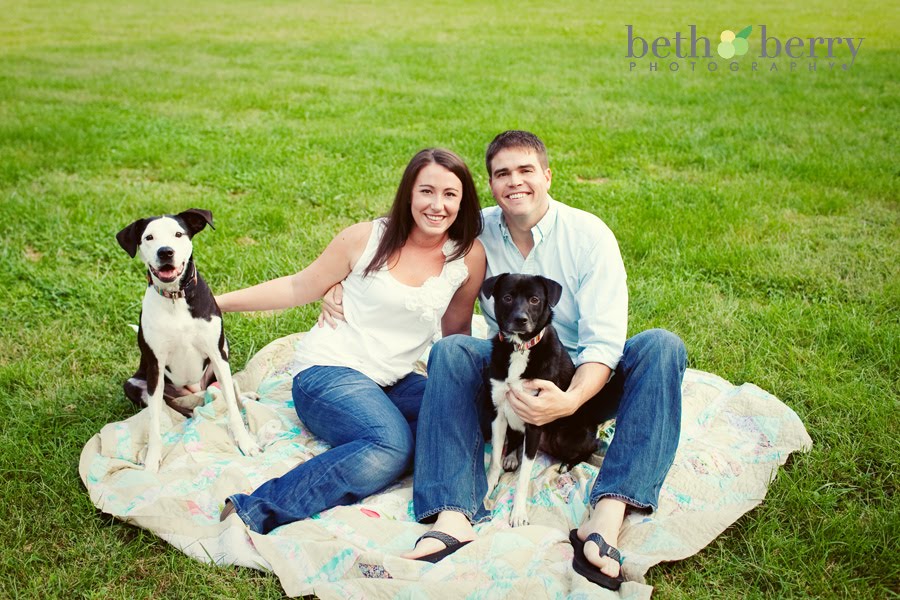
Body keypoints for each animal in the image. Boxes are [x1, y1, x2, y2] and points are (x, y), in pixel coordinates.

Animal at [116, 208, 261, 471]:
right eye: (149, 237)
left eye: (178, 234)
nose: (165, 252)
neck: (175, 297)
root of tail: (195, 389)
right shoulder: (155, 368)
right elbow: (154, 422)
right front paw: (151, 459)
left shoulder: (218, 354)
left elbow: (233, 408)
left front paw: (246, 443)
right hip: (135, 385)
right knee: (178, 409)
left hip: (220, 360)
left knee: (229, 390)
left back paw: (244, 396)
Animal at [483, 273, 607, 526]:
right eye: (507, 297)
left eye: (534, 299)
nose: (520, 320)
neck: (520, 348)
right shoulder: (498, 414)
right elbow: (494, 462)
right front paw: (488, 487)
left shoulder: (535, 420)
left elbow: (523, 478)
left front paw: (518, 513)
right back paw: (512, 456)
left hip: (567, 435)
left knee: (591, 447)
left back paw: (566, 464)